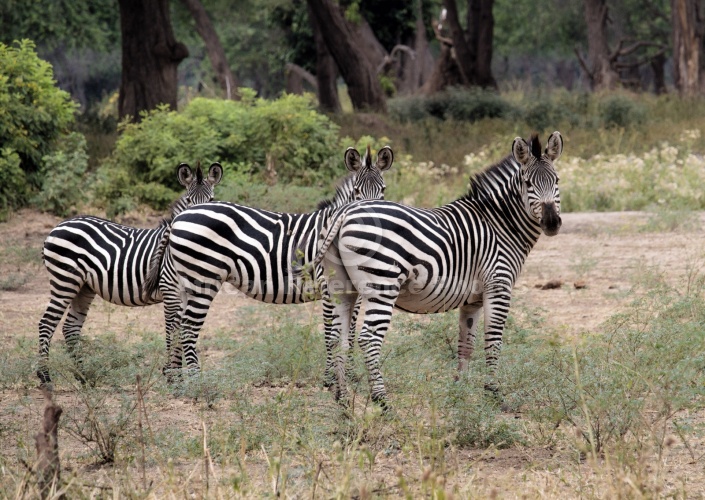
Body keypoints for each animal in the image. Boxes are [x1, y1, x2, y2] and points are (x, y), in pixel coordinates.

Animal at [36, 162, 223, 384]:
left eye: (211, 200)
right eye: (188, 201)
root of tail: (57, 227)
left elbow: (181, 331)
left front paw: (174, 374)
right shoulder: (170, 291)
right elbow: (173, 330)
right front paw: (172, 375)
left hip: (84, 286)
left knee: (70, 328)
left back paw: (83, 376)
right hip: (64, 280)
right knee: (47, 323)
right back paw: (45, 376)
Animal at [143, 145, 394, 376]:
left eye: (382, 190)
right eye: (358, 191)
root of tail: (180, 217)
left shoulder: (355, 291)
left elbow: (349, 333)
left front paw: (350, 376)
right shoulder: (328, 287)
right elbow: (331, 331)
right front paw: (331, 377)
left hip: (187, 281)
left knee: (178, 325)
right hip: (202, 278)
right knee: (187, 328)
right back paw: (197, 382)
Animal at [306, 131, 564, 408]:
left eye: (557, 181)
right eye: (528, 184)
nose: (552, 223)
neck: (499, 224)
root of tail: (344, 212)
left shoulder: (473, 299)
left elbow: (466, 344)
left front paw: (459, 392)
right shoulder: (498, 285)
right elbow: (493, 340)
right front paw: (494, 394)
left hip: (342, 290)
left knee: (338, 338)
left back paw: (343, 399)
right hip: (382, 285)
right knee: (368, 338)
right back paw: (382, 401)